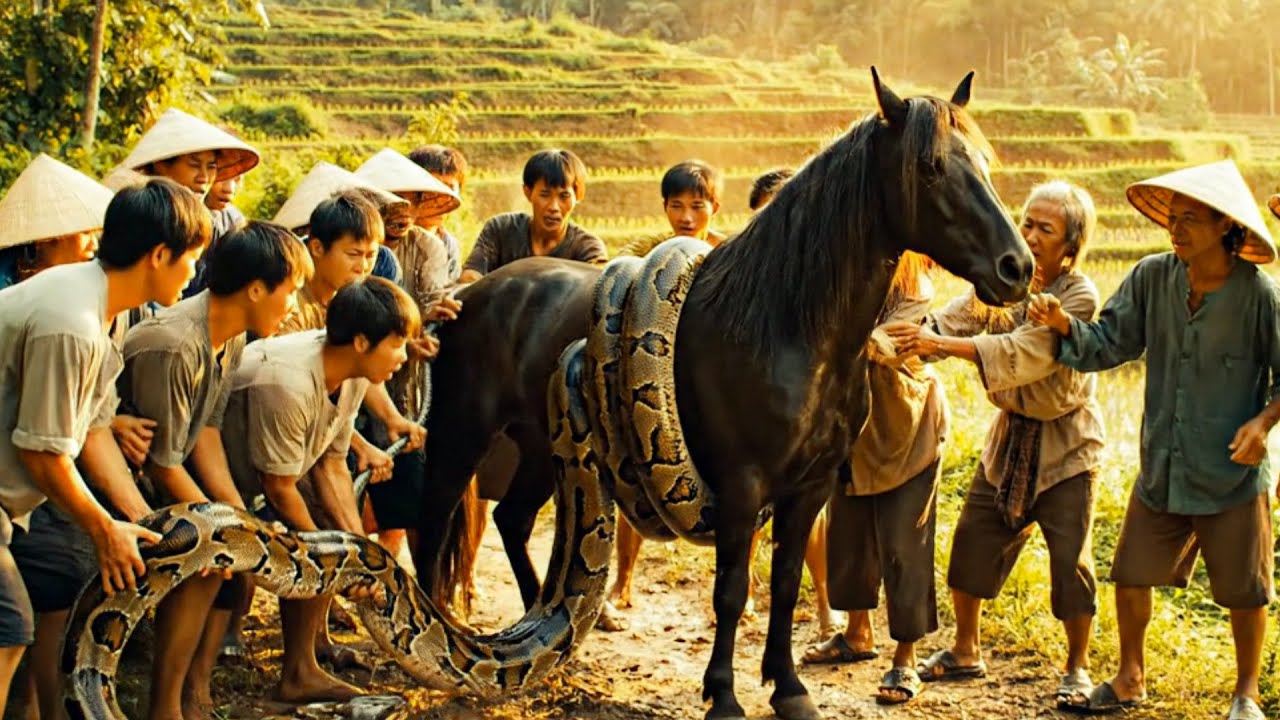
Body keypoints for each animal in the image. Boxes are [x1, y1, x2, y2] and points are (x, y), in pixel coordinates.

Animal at [412, 68, 1032, 719]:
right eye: (930, 166)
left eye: (984, 161)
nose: (1017, 267)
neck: (788, 330)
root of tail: (470, 294)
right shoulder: (742, 484)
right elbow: (730, 591)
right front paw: (725, 693)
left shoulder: (810, 486)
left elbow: (784, 582)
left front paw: (788, 686)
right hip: (462, 435)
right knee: (431, 526)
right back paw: (443, 641)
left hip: (542, 442)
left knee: (512, 518)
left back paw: (547, 640)